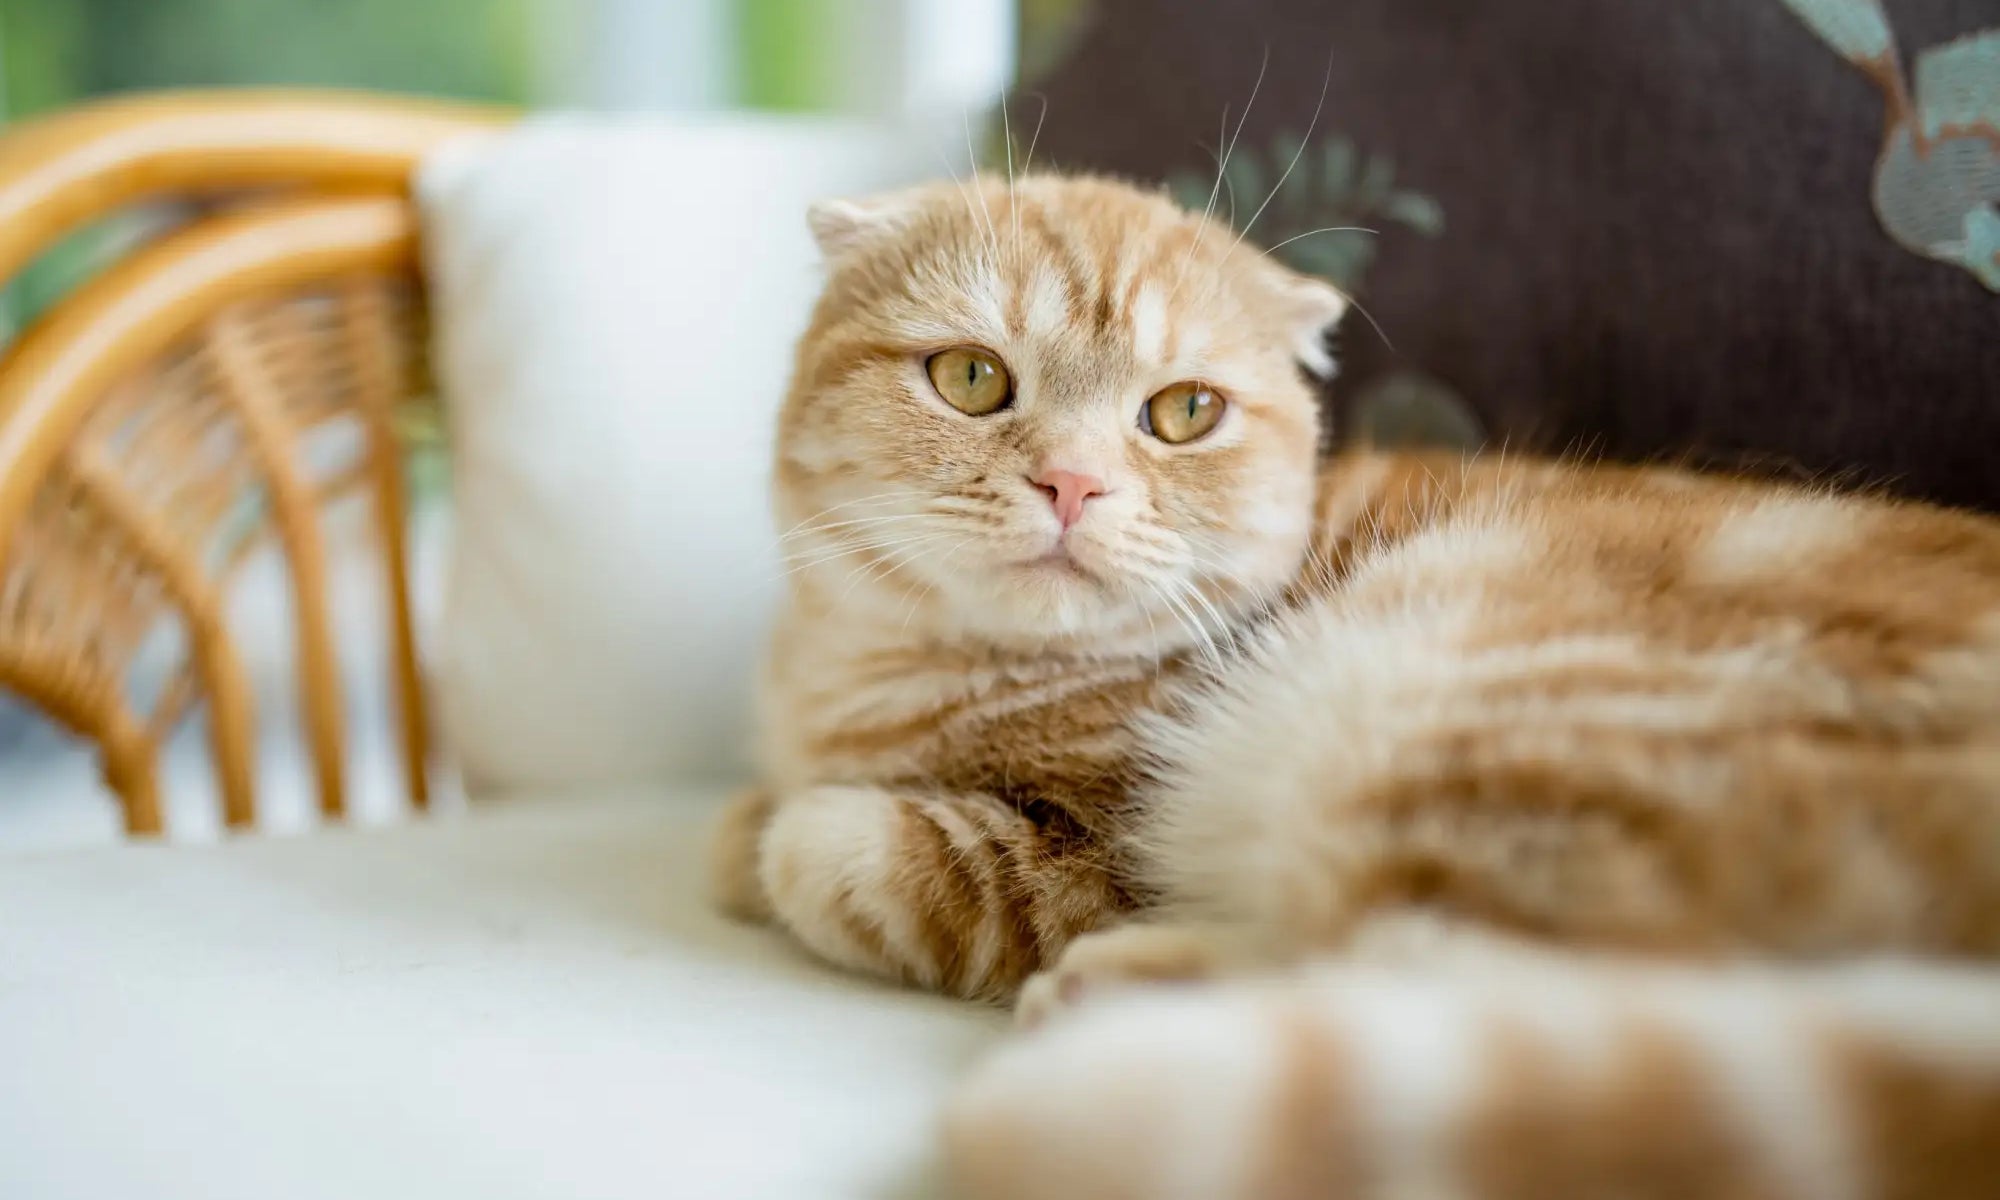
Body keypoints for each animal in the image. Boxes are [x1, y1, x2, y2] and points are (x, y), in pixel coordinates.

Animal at [708, 173, 2000, 1192]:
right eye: (972, 378)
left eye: (1182, 412)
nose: (1072, 483)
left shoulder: (1082, 859)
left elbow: (838, 853)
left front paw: (786, 832)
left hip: (1457, 718)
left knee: (1493, 1000)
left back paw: (1120, 1011)